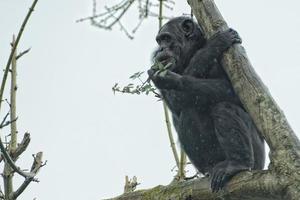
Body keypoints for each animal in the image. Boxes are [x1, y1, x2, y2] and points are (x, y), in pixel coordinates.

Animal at [148, 17, 264, 192]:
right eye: (159, 41)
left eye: (166, 38)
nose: (161, 49)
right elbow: (175, 103)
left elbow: (239, 90)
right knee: (189, 111)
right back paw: (212, 168)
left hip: (258, 160)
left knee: (224, 108)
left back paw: (238, 164)